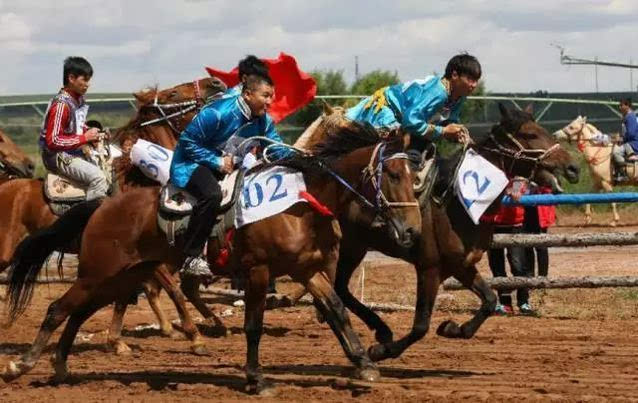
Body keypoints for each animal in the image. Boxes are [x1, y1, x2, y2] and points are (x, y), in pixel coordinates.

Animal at [6, 122, 424, 392]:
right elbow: (254, 325)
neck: (301, 202)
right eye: (393, 175)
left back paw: (61, 367)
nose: (412, 231)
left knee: (76, 313)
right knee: (57, 309)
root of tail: (102, 204)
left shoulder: (307, 271)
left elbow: (337, 311)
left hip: (121, 278)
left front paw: (365, 363)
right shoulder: (258, 271)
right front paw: (256, 378)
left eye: (414, 174)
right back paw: (21, 365)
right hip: (98, 273)